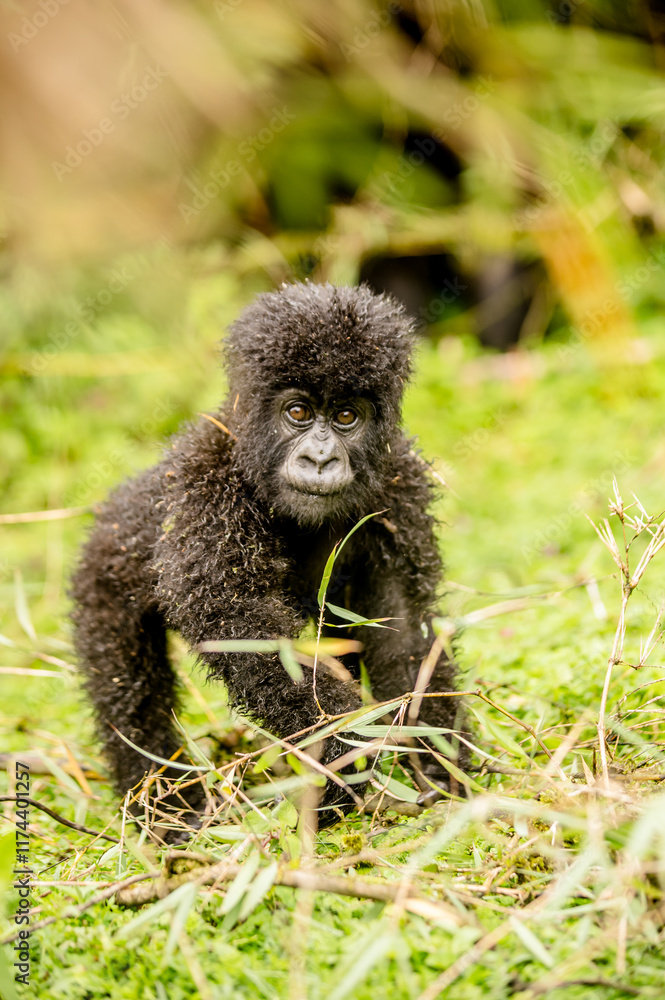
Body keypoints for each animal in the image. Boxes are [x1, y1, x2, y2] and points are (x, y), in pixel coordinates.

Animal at [71, 282, 465, 830]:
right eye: (298, 413)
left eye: (346, 416)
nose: (320, 459)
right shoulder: (207, 483)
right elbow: (240, 624)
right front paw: (342, 747)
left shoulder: (398, 483)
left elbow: (404, 627)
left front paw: (437, 761)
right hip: (101, 573)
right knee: (129, 693)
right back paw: (164, 806)